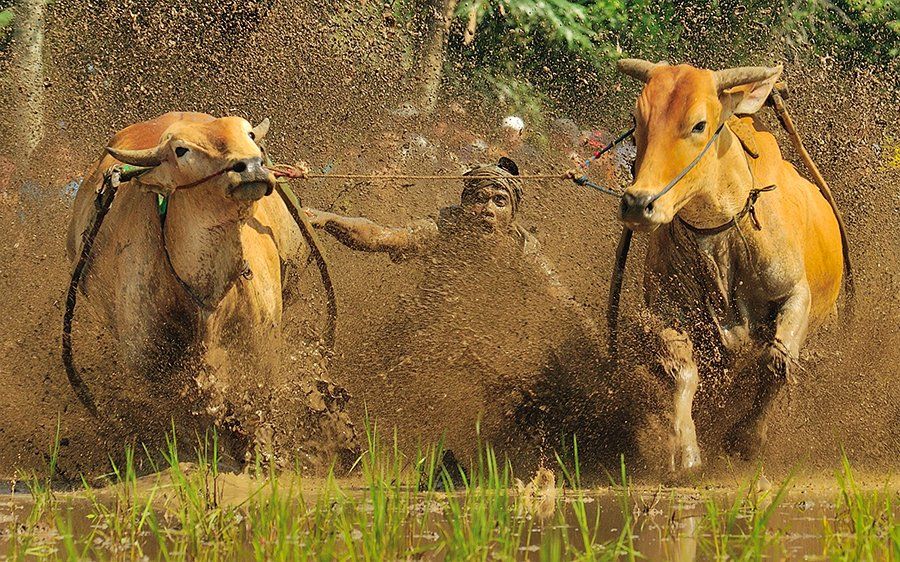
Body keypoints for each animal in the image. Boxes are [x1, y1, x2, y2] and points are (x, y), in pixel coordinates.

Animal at [65, 111, 308, 438]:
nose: (251, 166)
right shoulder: (148, 366)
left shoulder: (263, 350)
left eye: (249, 134)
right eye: (181, 150)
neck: (210, 296)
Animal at [616, 60, 848, 472]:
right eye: (637, 119)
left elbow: (775, 363)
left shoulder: (795, 296)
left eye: (698, 125)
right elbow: (682, 371)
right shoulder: (665, 311)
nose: (638, 203)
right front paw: (685, 451)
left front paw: (746, 440)